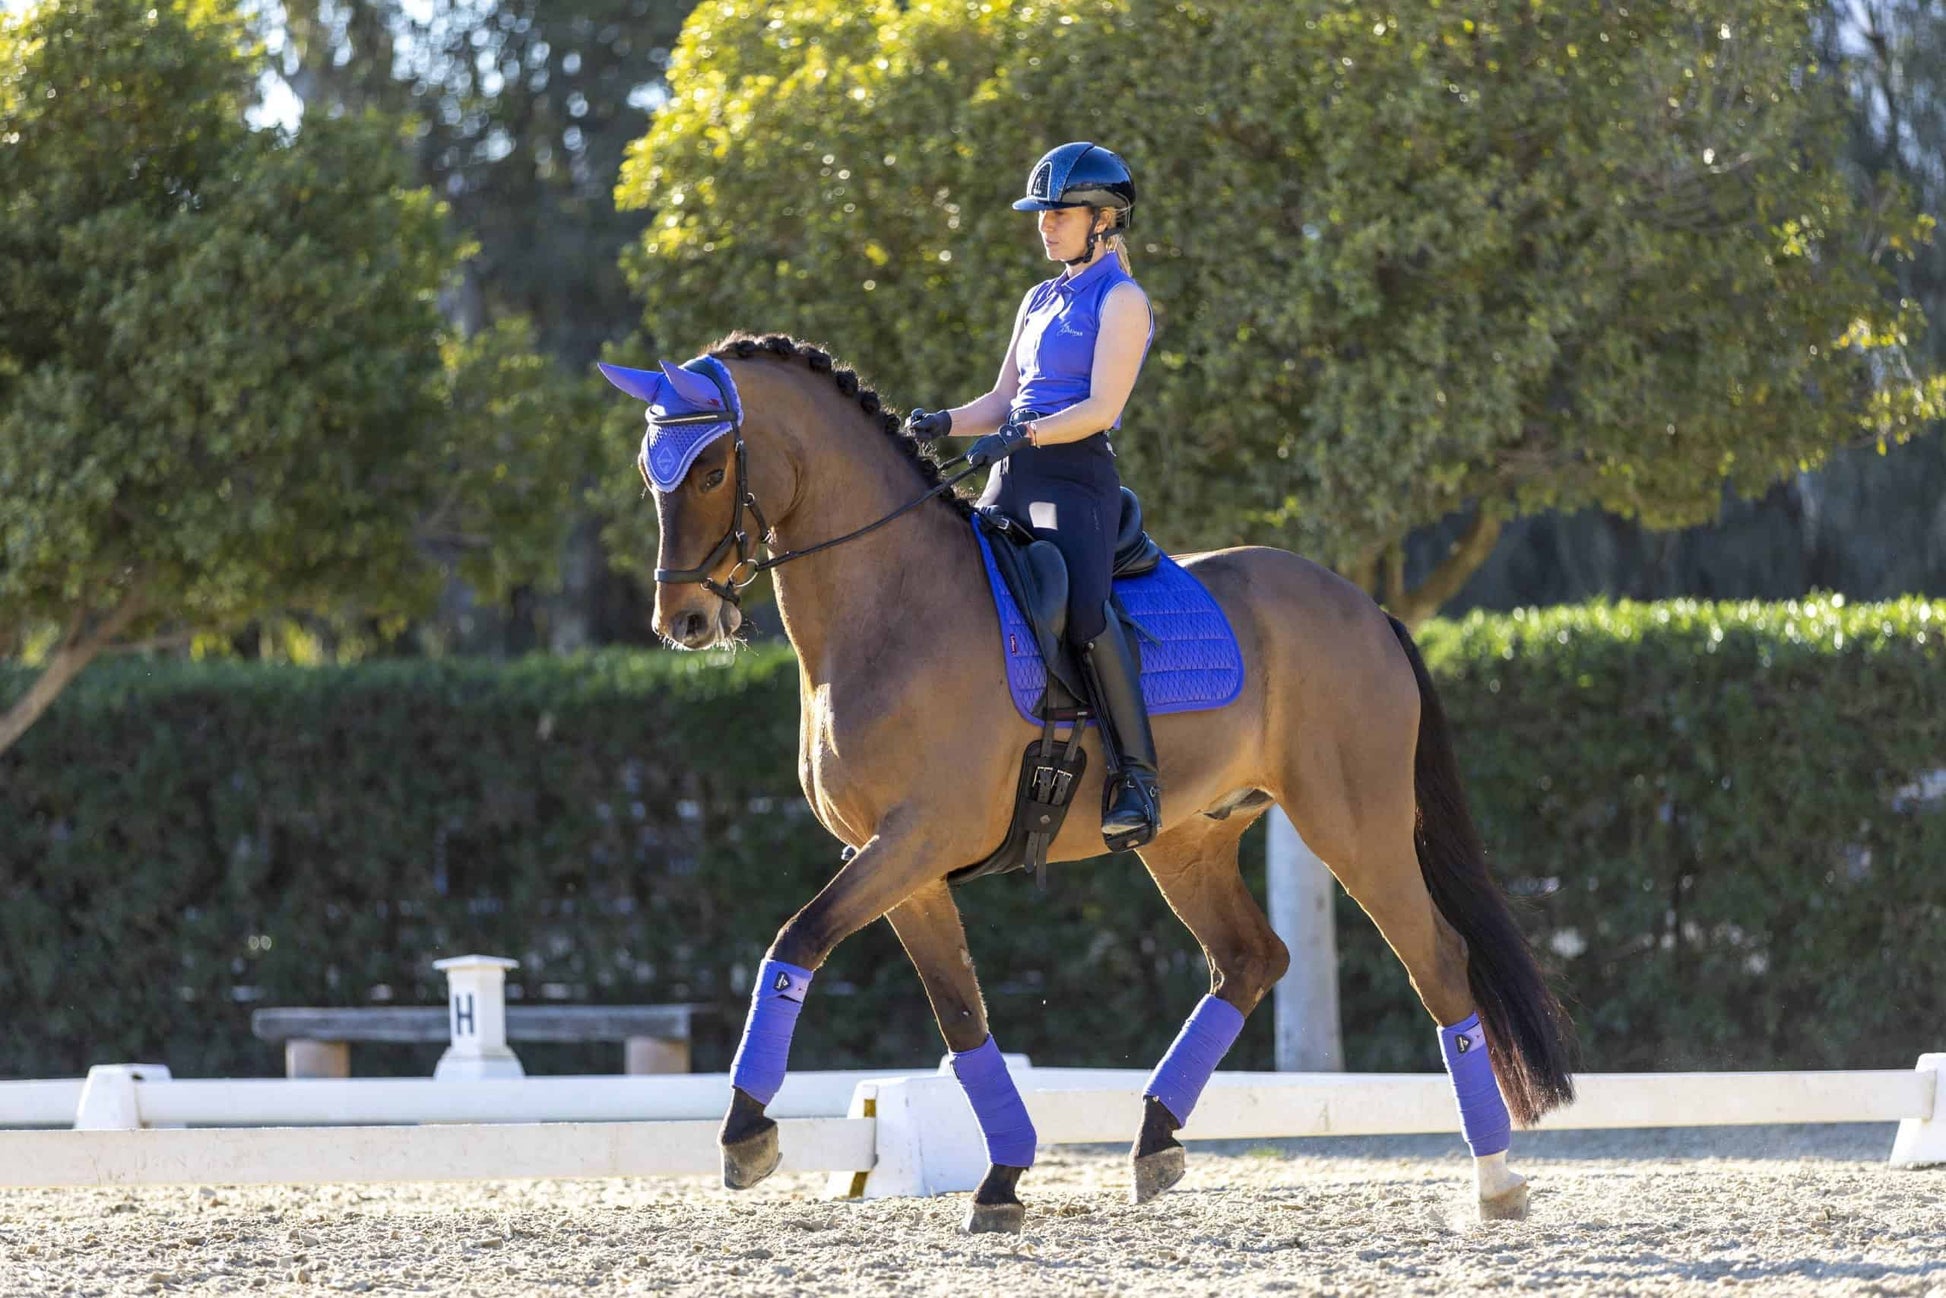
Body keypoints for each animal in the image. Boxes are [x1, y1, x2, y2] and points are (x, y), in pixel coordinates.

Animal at [615, 331, 1577, 1233]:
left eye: (710, 469)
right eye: (651, 472)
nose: (683, 620)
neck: (890, 607)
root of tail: (1363, 606)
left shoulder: (916, 838)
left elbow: (795, 944)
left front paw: (746, 1133)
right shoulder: (900, 864)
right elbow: (961, 1018)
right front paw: (1003, 1178)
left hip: (1356, 824)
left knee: (1436, 962)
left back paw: (1495, 1182)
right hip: (1187, 840)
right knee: (1250, 959)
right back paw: (1155, 1142)